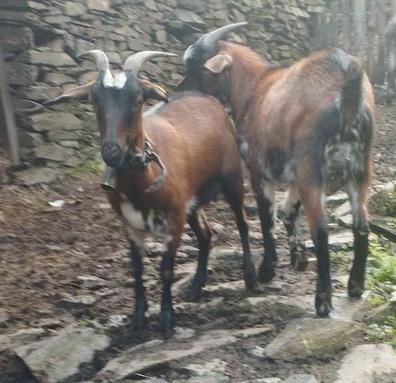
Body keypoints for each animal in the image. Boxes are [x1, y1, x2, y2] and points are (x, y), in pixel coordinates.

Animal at [51, 50, 256, 332]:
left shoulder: (174, 219)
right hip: (192, 202)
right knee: (205, 235)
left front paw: (166, 317)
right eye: (93, 100)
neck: (142, 182)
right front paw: (138, 317)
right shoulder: (130, 223)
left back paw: (251, 277)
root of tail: (208, 98)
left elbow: (166, 268)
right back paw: (195, 287)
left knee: (242, 224)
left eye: (138, 100)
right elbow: (137, 268)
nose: (111, 151)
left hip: (232, 180)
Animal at [183, 23, 374, 318]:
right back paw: (355, 286)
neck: (253, 89)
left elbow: (266, 216)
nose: (178, 93)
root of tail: (347, 88)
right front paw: (298, 257)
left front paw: (267, 269)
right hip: (359, 169)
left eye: (196, 66)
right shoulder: (295, 177)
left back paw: (323, 300)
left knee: (321, 231)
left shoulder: (258, 170)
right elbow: (288, 210)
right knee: (361, 225)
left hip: (313, 168)